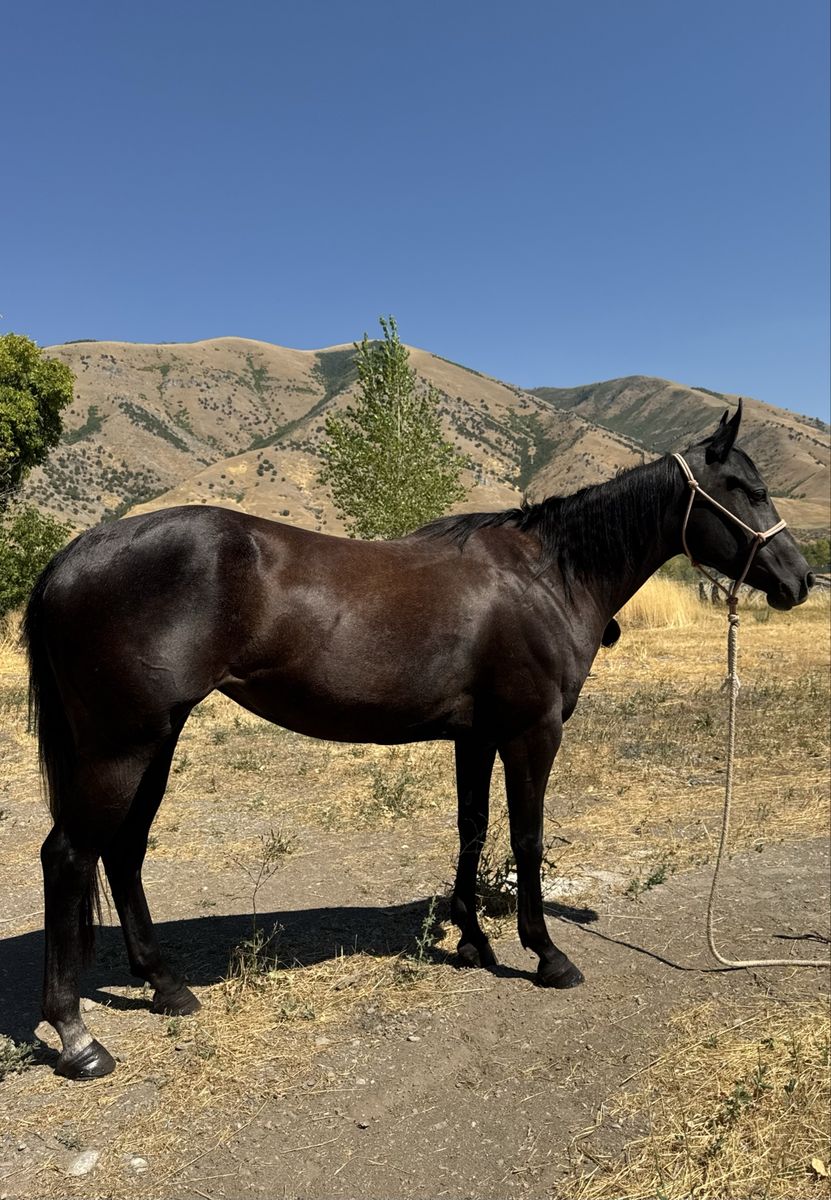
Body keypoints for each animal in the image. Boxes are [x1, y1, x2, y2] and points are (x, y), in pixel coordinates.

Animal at [23, 401, 812, 1079]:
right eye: (747, 490)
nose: (800, 580)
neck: (547, 576)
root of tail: (71, 556)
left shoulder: (477, 736)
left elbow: (472, 828)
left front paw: (472, 938)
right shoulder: (532, 733)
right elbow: (526, 837)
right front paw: (545, 954)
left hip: (156, 739)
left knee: (123, 850)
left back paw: (165, 986)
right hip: (122, 745)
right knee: (70, 856)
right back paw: (78, 1038)